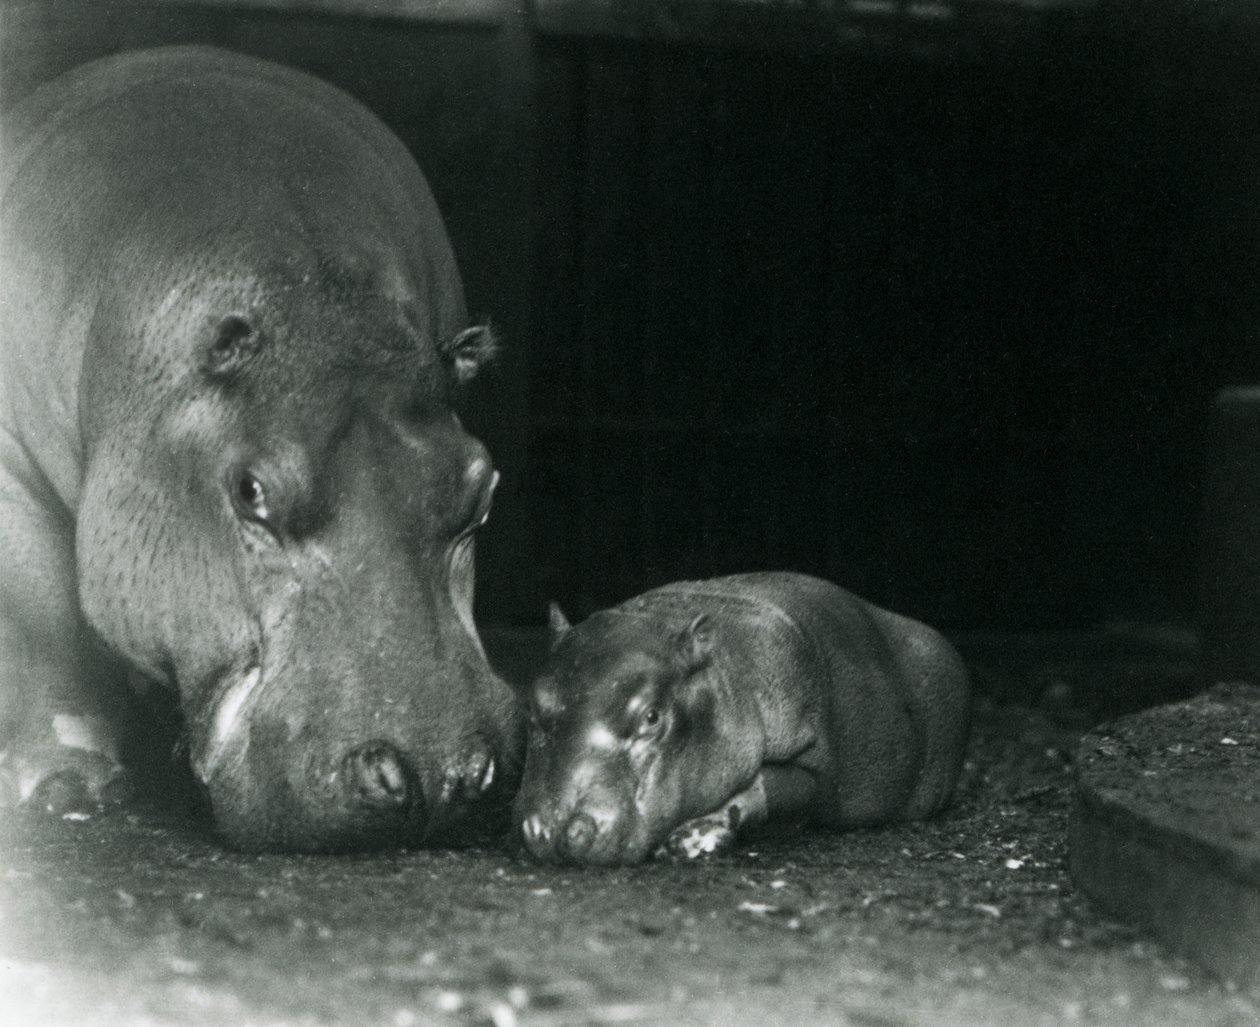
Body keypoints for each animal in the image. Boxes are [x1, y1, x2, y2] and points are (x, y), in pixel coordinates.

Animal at [0, 46, 521, 851]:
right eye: (252, 492)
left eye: (484, 486)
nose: (438, 778)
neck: (315, 301)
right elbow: (43, 620)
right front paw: (63, 786)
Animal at [516, 573, 971, 865]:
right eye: (533, 708)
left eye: (651, 716)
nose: (555, 830)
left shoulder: (808, 757)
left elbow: (771, 789)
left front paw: (693, 839)